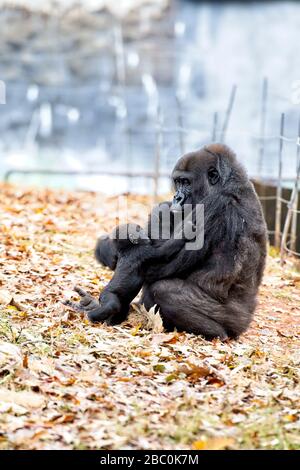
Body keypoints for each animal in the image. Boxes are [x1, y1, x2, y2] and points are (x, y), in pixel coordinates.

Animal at [65, 144, 268, 342]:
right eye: (177, 182)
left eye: (186, 182)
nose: (176, 198)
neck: (229, 182)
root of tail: (247, 318)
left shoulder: (215, 205)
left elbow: (152, 264)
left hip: (233, 320)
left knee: (163, 291)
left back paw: (216, 333)